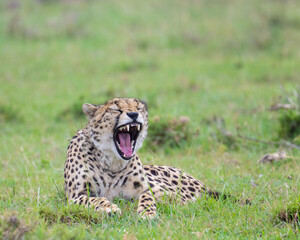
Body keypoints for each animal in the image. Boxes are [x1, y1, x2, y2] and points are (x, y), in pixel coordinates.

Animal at [64, 97, 231, 218]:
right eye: (116, 109)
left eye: (139, 108)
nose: (133, 114)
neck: (112, 162)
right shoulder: (74, 195)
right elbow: (94, 199)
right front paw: (109, 207)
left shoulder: (147, 188)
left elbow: (148, 197)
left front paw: (147, 213)